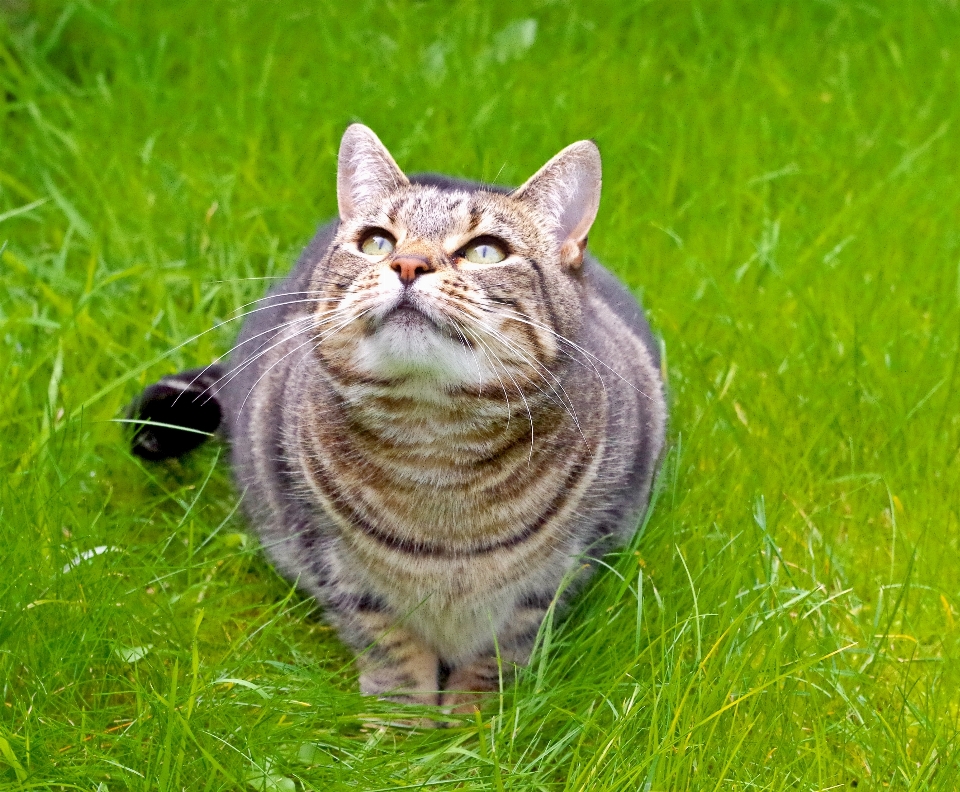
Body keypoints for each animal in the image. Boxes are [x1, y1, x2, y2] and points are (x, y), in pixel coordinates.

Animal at [129, 124, 668, 712]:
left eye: (485, 251)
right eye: (377, 242)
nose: (408, 264)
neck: (435, 441)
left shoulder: (566, 565)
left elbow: (501, 651)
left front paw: (473, 720)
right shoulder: (330, 559)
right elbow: (390, 646)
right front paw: (400, 723)